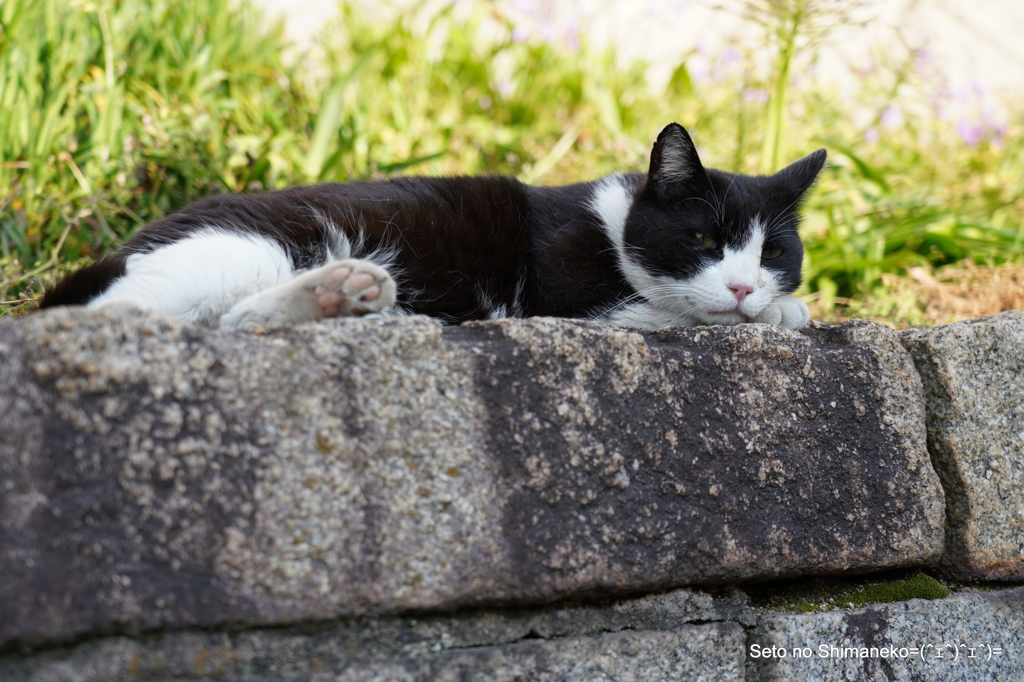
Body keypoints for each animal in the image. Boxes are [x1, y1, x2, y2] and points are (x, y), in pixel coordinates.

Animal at [39, 125, 827, 333]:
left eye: (773, 251)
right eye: (703, 242)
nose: (744, 286)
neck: (614, 223)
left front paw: (779, 303)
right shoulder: (570, 300)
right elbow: (676, 314)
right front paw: (782, 313)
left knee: (233, 323)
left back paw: (342, 294)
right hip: (240, 250)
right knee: (131, 315)